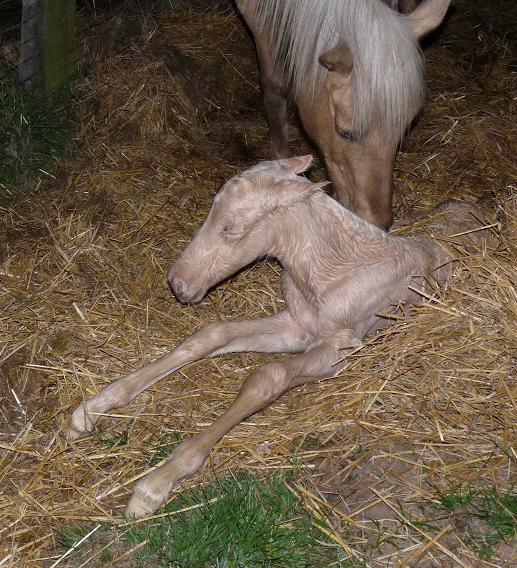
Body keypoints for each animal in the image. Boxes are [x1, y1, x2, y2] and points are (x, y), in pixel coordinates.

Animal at [68, 154, 492, 516]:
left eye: (232, 229)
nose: (179, 285)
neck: (331, 270)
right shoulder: (297, 327)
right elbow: (210, 335)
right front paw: (94, 407)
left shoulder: (341, 346)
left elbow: (267, 377)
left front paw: (156, 484)